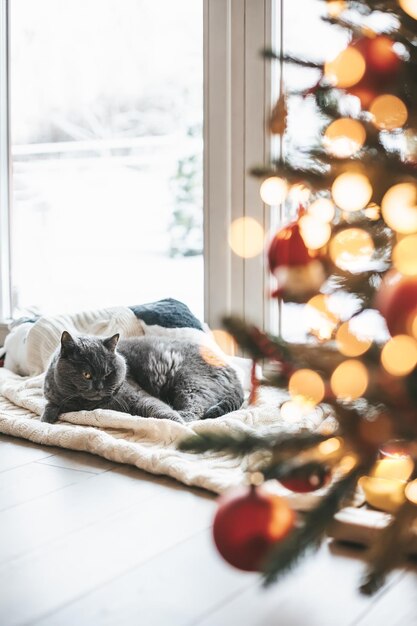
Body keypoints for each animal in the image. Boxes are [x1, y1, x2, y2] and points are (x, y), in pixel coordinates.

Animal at [41, 330, 244, 422]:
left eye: (108, 373)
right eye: (87, 374)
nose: (99, 387)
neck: (87, 405)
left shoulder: (138, 396)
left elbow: (160, 409)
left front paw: (176, 423)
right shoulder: (53, 397)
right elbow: (49, 408)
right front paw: (46, 420)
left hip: (190, 382)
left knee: (196, 409)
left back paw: (182, 418)